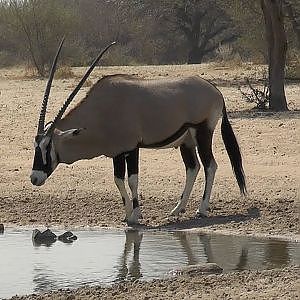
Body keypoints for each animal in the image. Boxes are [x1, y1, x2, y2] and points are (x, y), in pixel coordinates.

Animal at [30, 39, 246, 224]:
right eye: (35, 146)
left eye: (48, 146)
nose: (34, 178)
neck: (102, 109)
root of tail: (215, 91)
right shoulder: (116, 153)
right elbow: (118, 180)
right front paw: (127, 215)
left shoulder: (132, 148)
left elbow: (132, 180)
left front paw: (135, 216)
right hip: (186, 141)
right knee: (193, 168)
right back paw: (177, 209)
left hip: (203, 132)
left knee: (210, 165)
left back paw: (201, 209)